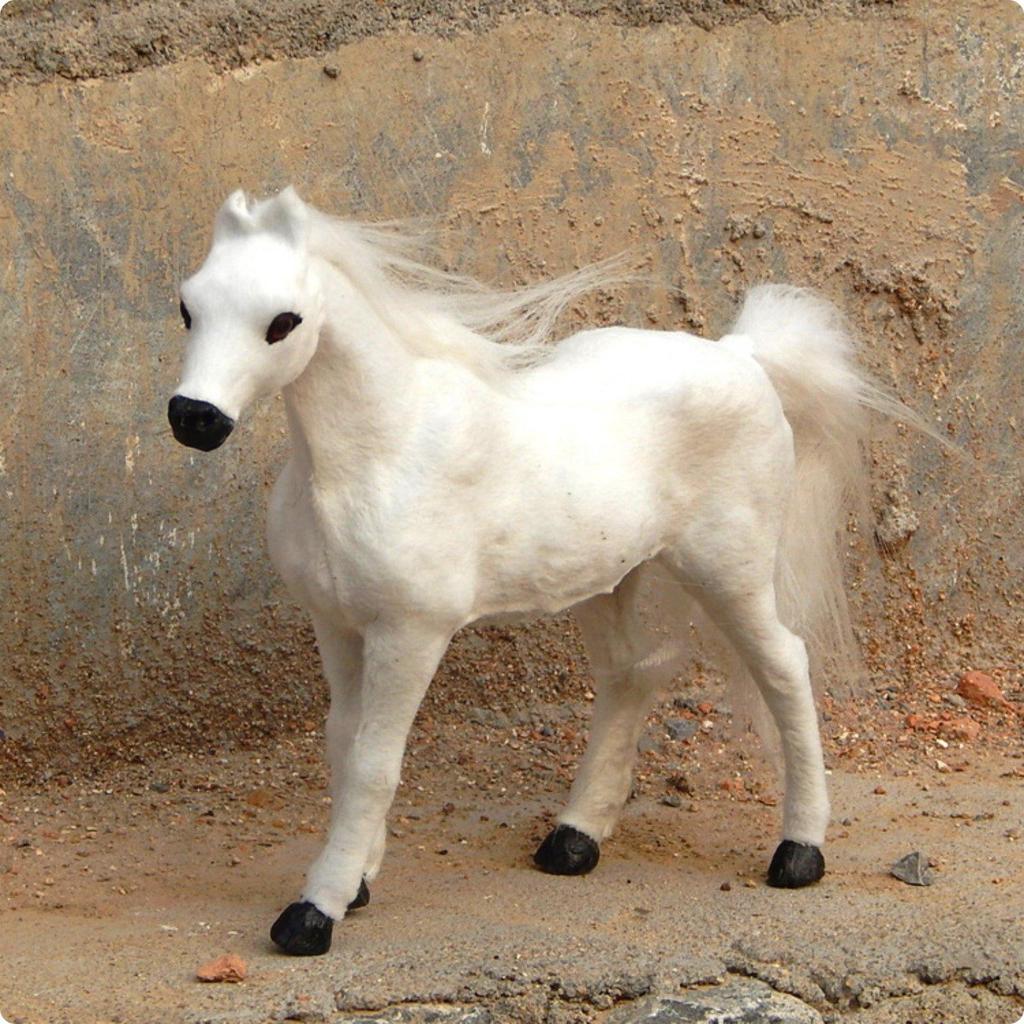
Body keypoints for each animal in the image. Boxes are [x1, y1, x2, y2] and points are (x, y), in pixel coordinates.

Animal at [168, 187, 913, 956]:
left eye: (283, 322)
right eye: (189, 307)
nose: (195, 418)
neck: (382, 450)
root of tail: (742, 355)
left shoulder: (412, 633)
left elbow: (375, 763)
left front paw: (315, 910)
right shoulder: (337, 623)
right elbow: (345, 744)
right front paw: (358, 881)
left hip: (728, 571)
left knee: (785, 668)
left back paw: (799, 852)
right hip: (611, 579)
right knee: (628, 675)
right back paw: (574, 840)